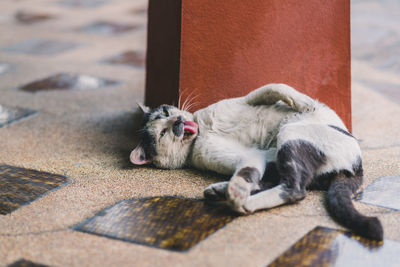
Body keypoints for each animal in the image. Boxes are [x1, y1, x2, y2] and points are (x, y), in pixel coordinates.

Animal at [131, 84, 384, 241]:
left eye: (165, 113)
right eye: (162, 133)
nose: (177, 121)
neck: (202, 131)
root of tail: (355, 167)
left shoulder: (248, 100)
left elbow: (275, 87)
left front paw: (304, 103)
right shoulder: (247, 156)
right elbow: (247, 172)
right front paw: (237, 190)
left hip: (287, 139)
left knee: (279, 181)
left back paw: (225, 192)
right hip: (289, 139)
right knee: (292, 188)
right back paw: (233, 196)